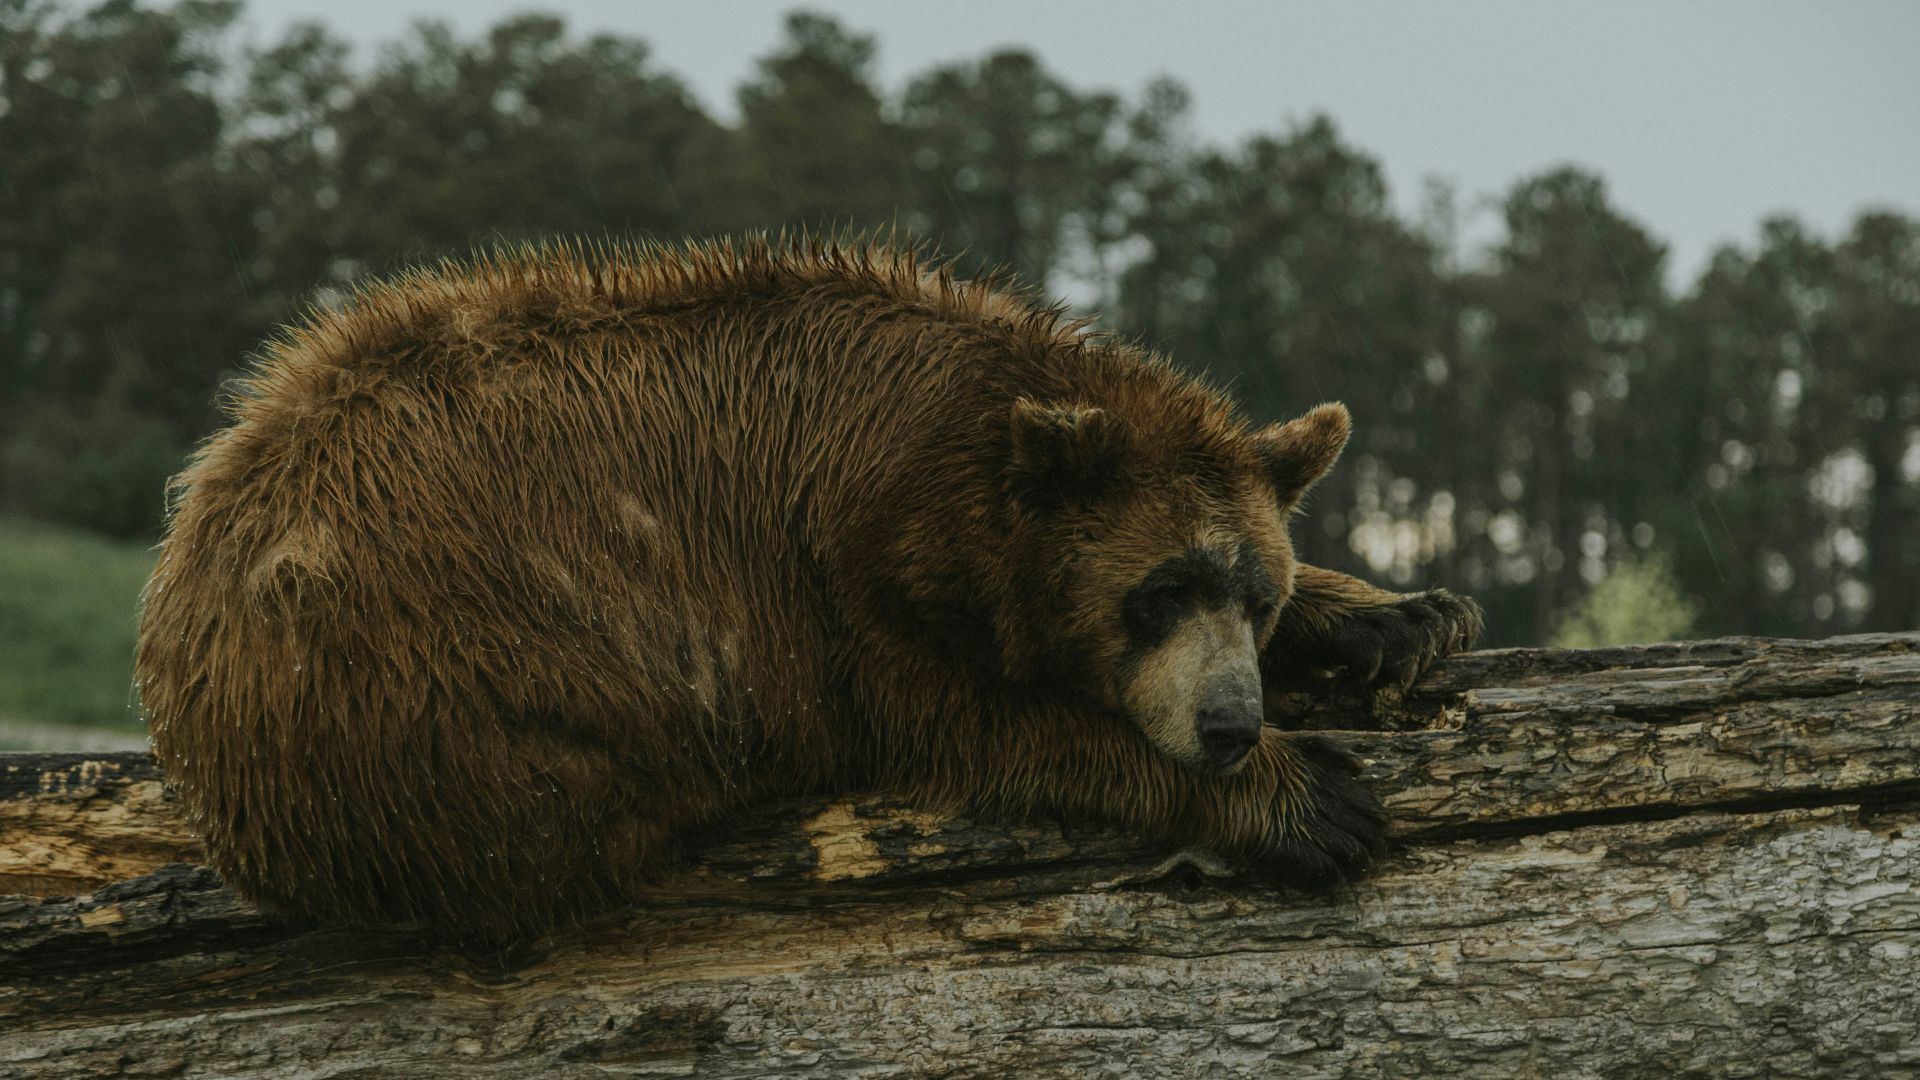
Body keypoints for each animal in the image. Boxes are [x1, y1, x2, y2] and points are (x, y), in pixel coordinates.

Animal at [136, 238, 1482, 939]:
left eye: (1249, 593)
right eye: (1155, 591)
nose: (1229, 725)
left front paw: (1404, 616)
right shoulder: (824, 575)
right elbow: (963, 723)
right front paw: (1315, 803)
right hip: (440, 662)